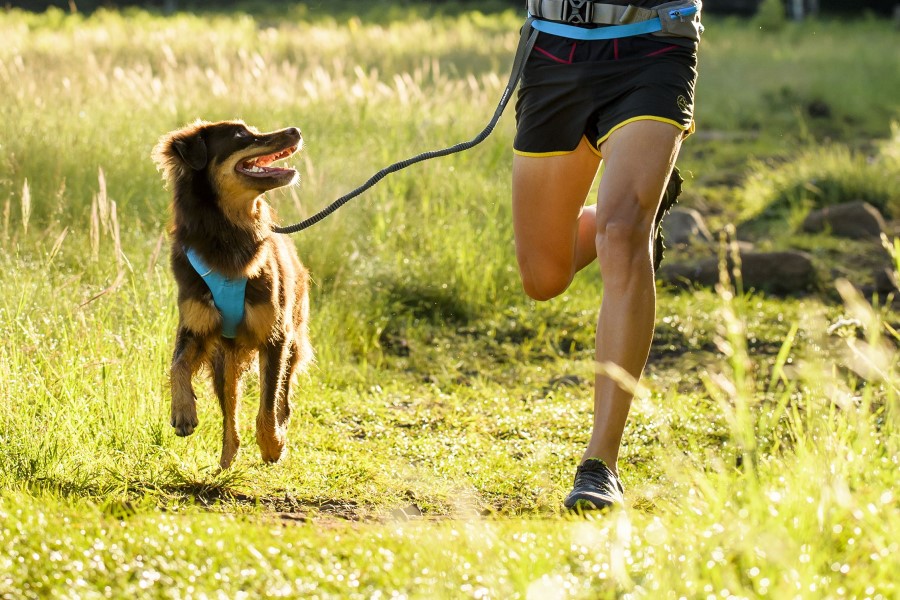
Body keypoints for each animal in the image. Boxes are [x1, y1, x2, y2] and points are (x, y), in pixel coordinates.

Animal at [152, 120, 312, 468]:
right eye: (241, 135)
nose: (295, 130)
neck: (228, 232)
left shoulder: (275, 336)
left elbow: (268, 400)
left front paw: (272, 445)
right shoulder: (195, 326)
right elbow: (176, 365)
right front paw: (182, 411)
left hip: (293, 338)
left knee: (283, 395)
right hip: (222, 357)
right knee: (230, 406)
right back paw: (227, 455)